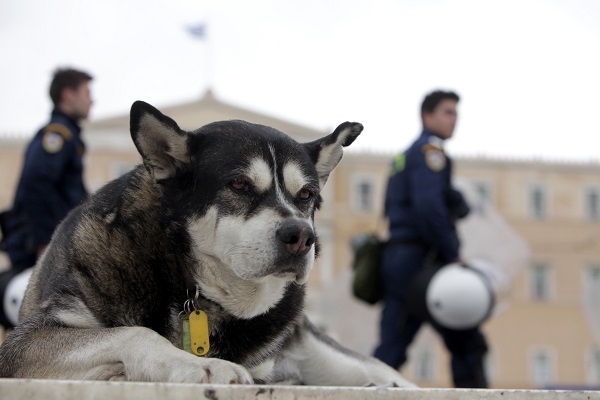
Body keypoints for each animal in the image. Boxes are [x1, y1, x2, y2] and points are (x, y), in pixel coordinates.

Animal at [0, 101, 412, 388]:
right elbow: (137, 333)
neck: (194, 289)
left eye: (306, 194)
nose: (301, 237)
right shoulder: (22, 344)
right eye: (239, 184)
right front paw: (202, 364)